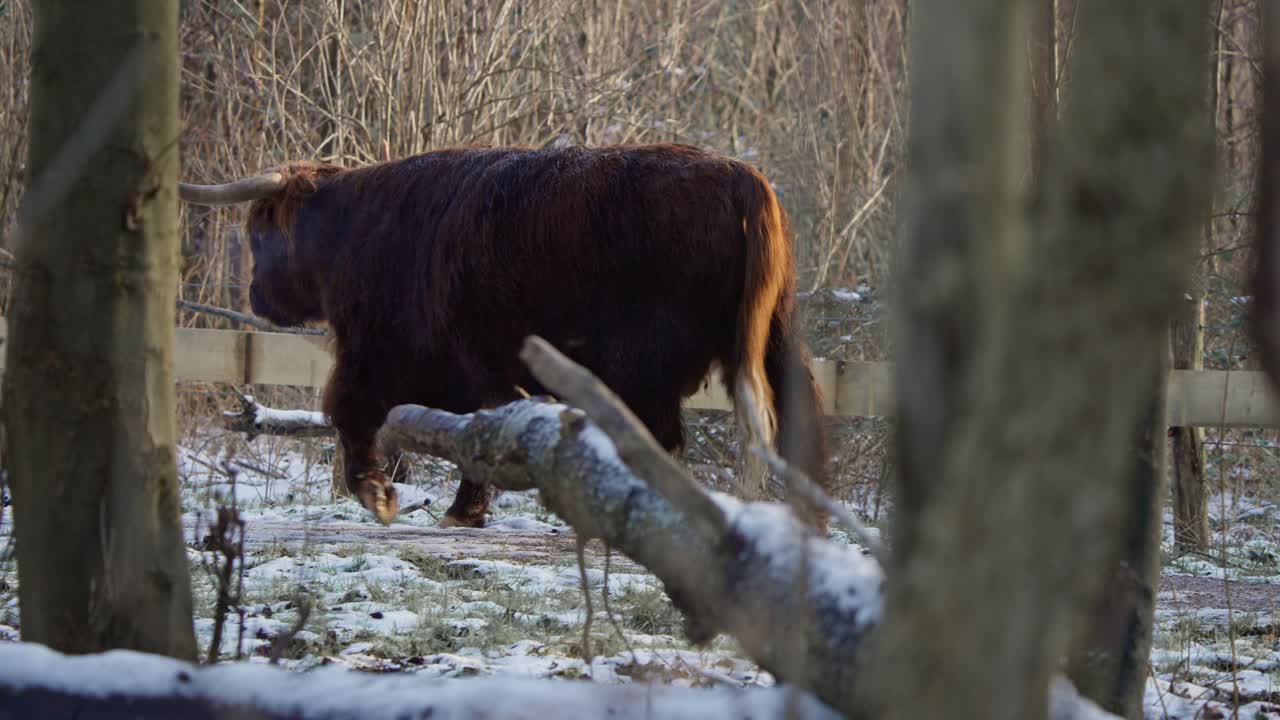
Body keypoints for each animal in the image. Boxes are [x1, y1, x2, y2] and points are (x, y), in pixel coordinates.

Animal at [178, 143, 830, 531]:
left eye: (261, 234)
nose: (256, 296)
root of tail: (741, 176)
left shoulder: (390, 353)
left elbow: (353, 411)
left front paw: (385, 496)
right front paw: (464, 509)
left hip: (642, 364)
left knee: (659, 438)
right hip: (775, 343)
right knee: (798, 428)